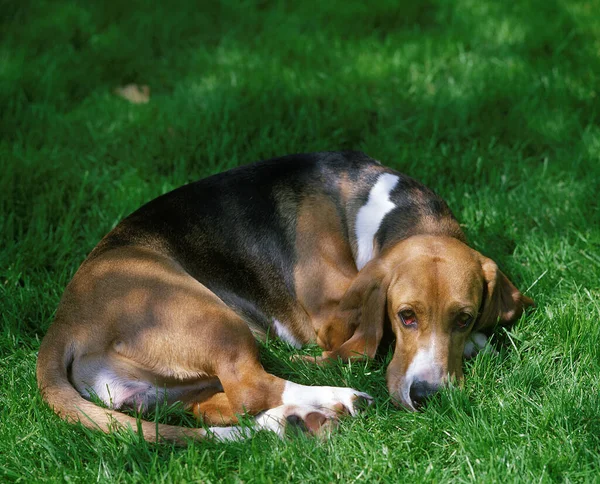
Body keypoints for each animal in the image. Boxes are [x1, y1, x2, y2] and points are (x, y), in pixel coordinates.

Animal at [38, 151, 536, 442]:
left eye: (464, 318)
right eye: (405, 316)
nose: (428, 395)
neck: (378, 208)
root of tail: (65, 320)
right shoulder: (329, 319)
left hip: (163, 389)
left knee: (213, 409)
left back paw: (295, 421)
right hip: (209, 316)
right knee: (251, 387)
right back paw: (334, 399)